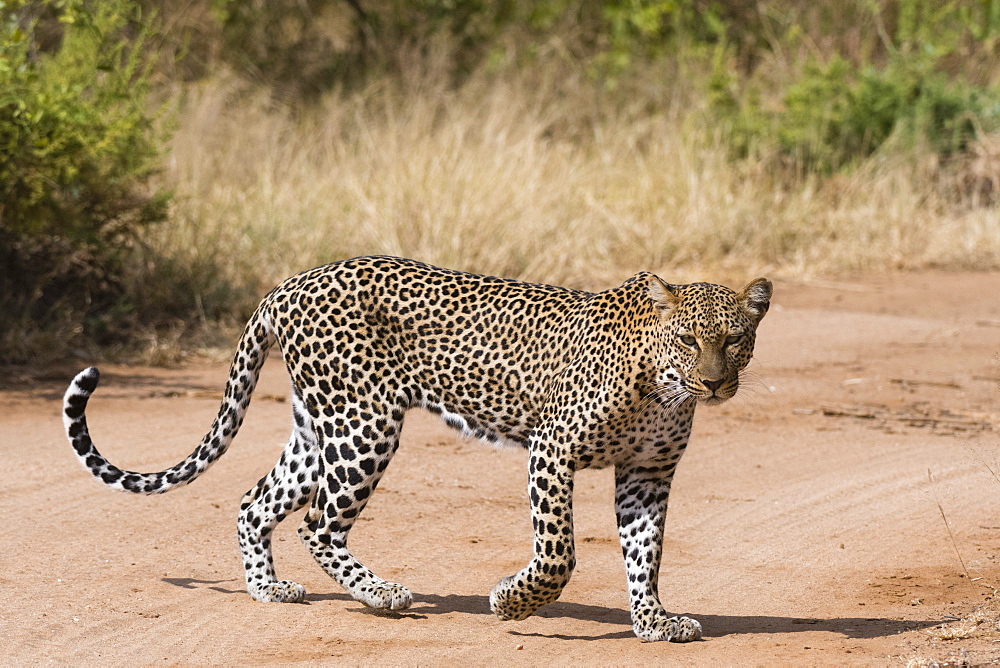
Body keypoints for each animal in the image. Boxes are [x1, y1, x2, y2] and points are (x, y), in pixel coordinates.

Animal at [62, 256, 772, 640]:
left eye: (735, 339)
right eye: (688, 338)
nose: (715, 382)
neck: (662, 385)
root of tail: (290, 283)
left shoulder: (647, 473)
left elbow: (644, 555)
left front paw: (653, 622)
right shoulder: (553, 451)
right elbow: (558, 555)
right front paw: (511, 601)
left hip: (319, 428)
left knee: (254, 501)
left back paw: (270, 590)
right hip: (365, 424)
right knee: (318, 522)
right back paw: (382, 595)